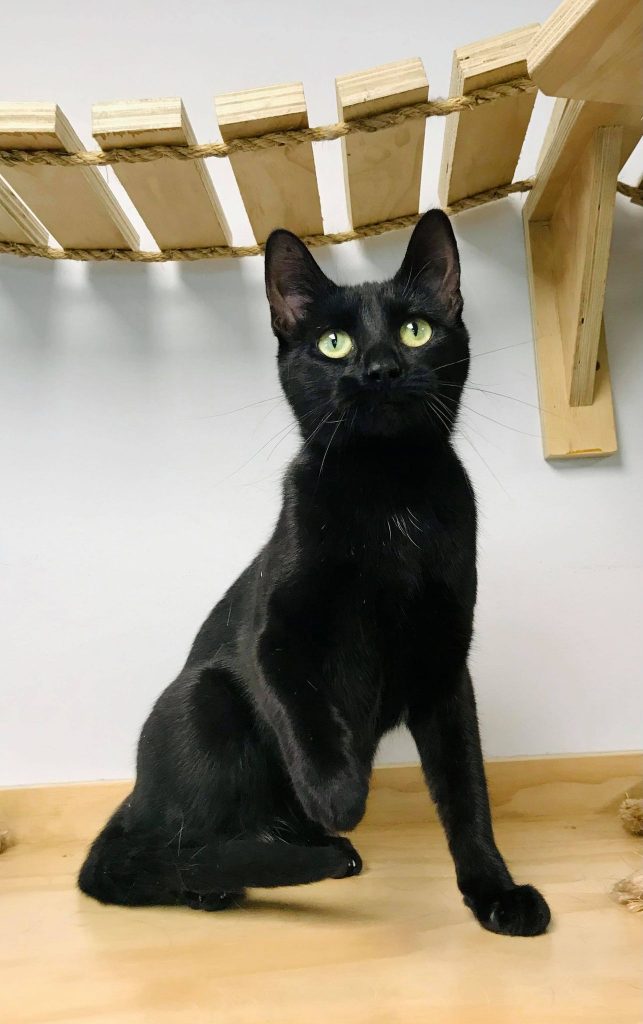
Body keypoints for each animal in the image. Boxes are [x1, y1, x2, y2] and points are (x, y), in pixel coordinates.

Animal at [78, 210, 550, 936]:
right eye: (333, 343)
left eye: (416, 330)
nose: (380, 368)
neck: (389, 498)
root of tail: (133, 798)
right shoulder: (272, 636)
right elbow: (306, 711)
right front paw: (339, 797)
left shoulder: (444, 665)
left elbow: (467, 792)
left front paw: (494, 891)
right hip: (204, 698)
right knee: (165, 851)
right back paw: (245, 871)